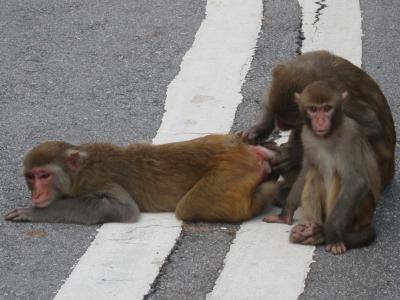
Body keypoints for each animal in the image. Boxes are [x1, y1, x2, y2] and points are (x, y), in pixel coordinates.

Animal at [4, 134, 280, 225]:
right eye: (31, 177)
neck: (77, 173)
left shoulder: (96, 180)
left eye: (44, 175)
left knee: (189, 208)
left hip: (232, 168)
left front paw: (33, 212)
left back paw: (268, 191)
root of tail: (240, 147)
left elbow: (122, 208)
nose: (37, 194)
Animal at [245, 50, 396, 224]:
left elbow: (372, 127)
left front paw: (293, 153)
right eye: (277, 116)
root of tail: (390, 174)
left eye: (287, 121)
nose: (279, 125)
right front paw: (257, 130)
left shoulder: (342, 101)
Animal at [286, 81, 380, 254]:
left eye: (327, 108)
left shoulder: (351, 135)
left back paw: (320, 234)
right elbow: (306, 169)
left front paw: (332, 233)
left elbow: (356, 181)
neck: (327, 136)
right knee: (314, 171)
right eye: (313, 109)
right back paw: (309, 229)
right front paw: (286, 211)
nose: (320, 121)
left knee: (339, 176)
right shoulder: (306, 135)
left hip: (363, 211)